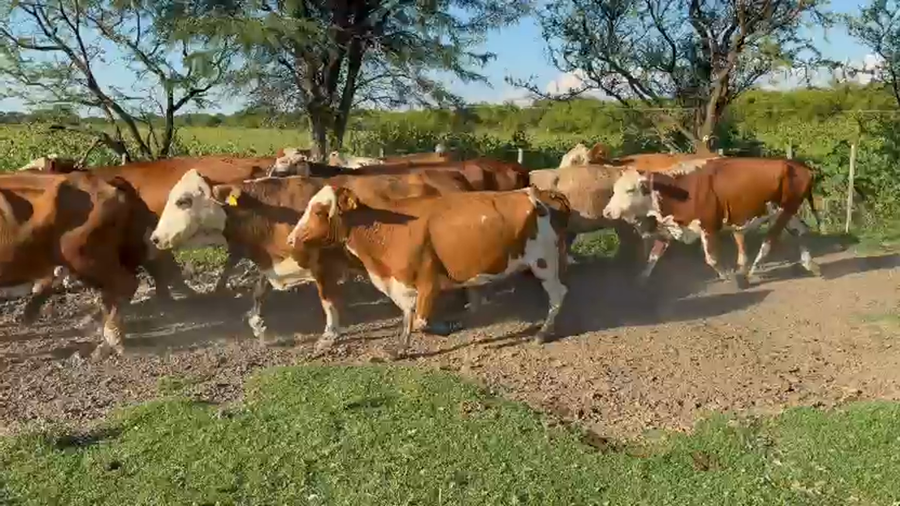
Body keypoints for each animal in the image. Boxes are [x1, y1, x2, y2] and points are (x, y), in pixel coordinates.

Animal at [148, 169, 476, 342]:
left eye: (183, 201)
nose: (155, 238)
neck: (268, 209)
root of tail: (450, 173)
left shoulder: (322, 263)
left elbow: (327, 299)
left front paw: (330, 334)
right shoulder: (275, 261)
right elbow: (259, 291)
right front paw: (257, 324)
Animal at [286, 184, 572, 356]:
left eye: (320, 211)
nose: (290, 239)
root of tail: (536, 192)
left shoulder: (428, 282)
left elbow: (421, 322)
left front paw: (449, 326)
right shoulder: (401, 283)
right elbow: (407, 317)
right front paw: (400, 350)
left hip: (544, 263)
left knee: (558, 294)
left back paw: (543, 333)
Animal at [602, 158, 823, 288]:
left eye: (630, 190)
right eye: (614, 189)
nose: (607, 212)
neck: (682, 189)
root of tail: (801, 167)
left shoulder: (708, 227)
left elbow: (712, 259)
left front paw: (730, 278)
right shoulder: (671, 228)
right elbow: (653, 257)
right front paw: (640, 280)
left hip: (786, 210)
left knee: (769, 242)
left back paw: (749, 274)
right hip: (784, 212)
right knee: (801, 231)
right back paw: (810, 264)